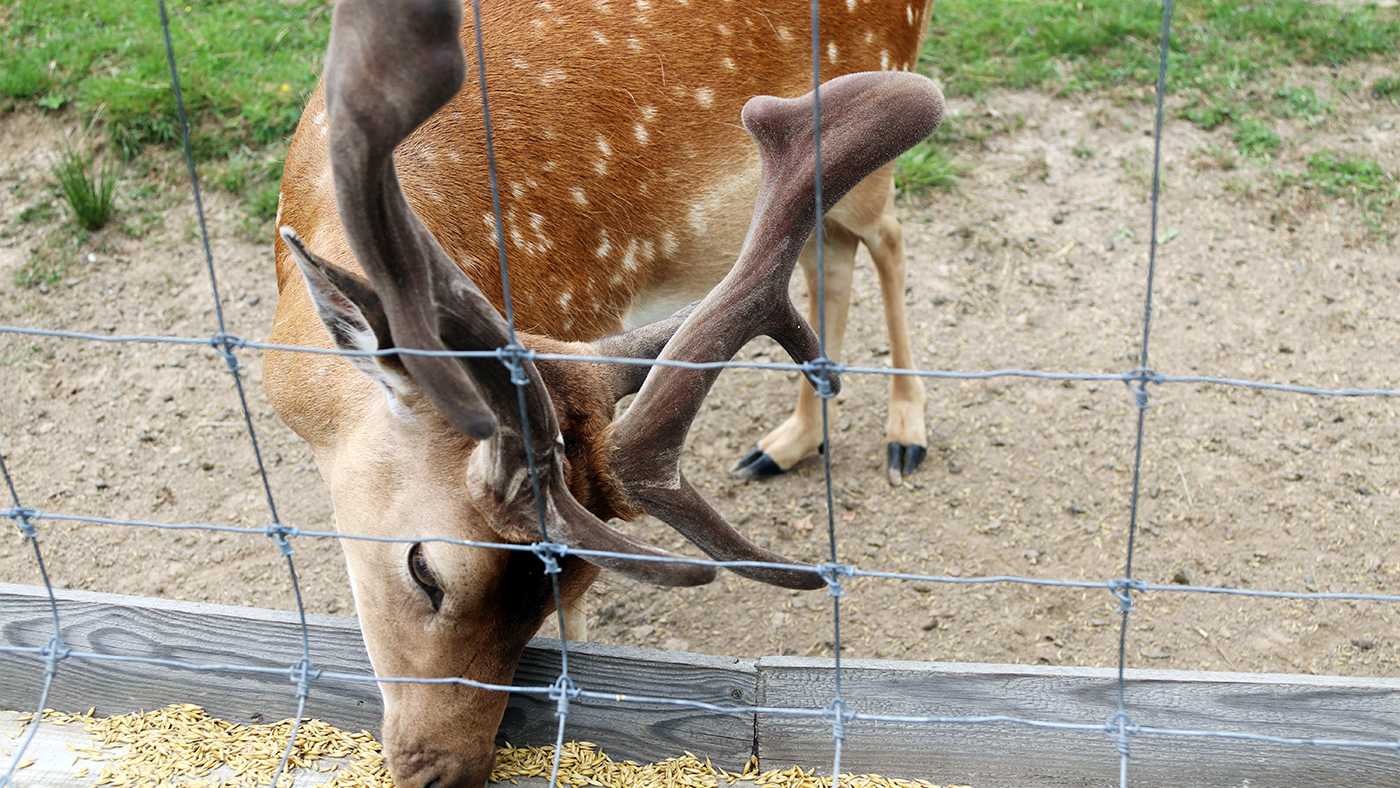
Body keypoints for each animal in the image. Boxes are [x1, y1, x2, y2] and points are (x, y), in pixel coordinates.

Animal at [263, 1, 940, 788]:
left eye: (572, 587)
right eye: (425, 572)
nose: (447, 773)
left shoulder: (583, 308)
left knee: (887, 234)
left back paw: (905, 432)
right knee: (825, 253)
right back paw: (791, 441)